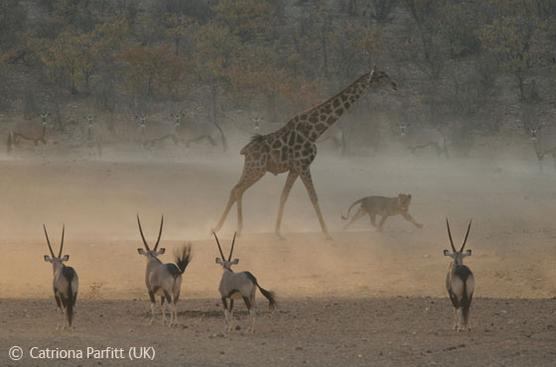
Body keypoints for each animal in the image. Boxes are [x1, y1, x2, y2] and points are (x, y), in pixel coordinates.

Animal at [212, 67, 396, 240]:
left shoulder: (295, 168)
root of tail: (244, 151)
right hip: (256, 169)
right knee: (237, 190)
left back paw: (228, 229)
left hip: (254, 169)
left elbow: (284, 196)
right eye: (381, 77)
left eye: (386, 75)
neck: (315, 131)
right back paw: (226, 229)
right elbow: (313, 197)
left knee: (237, 190)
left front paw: (278, 232)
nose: (394, 85)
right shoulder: (304, 165)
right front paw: (327, 234)